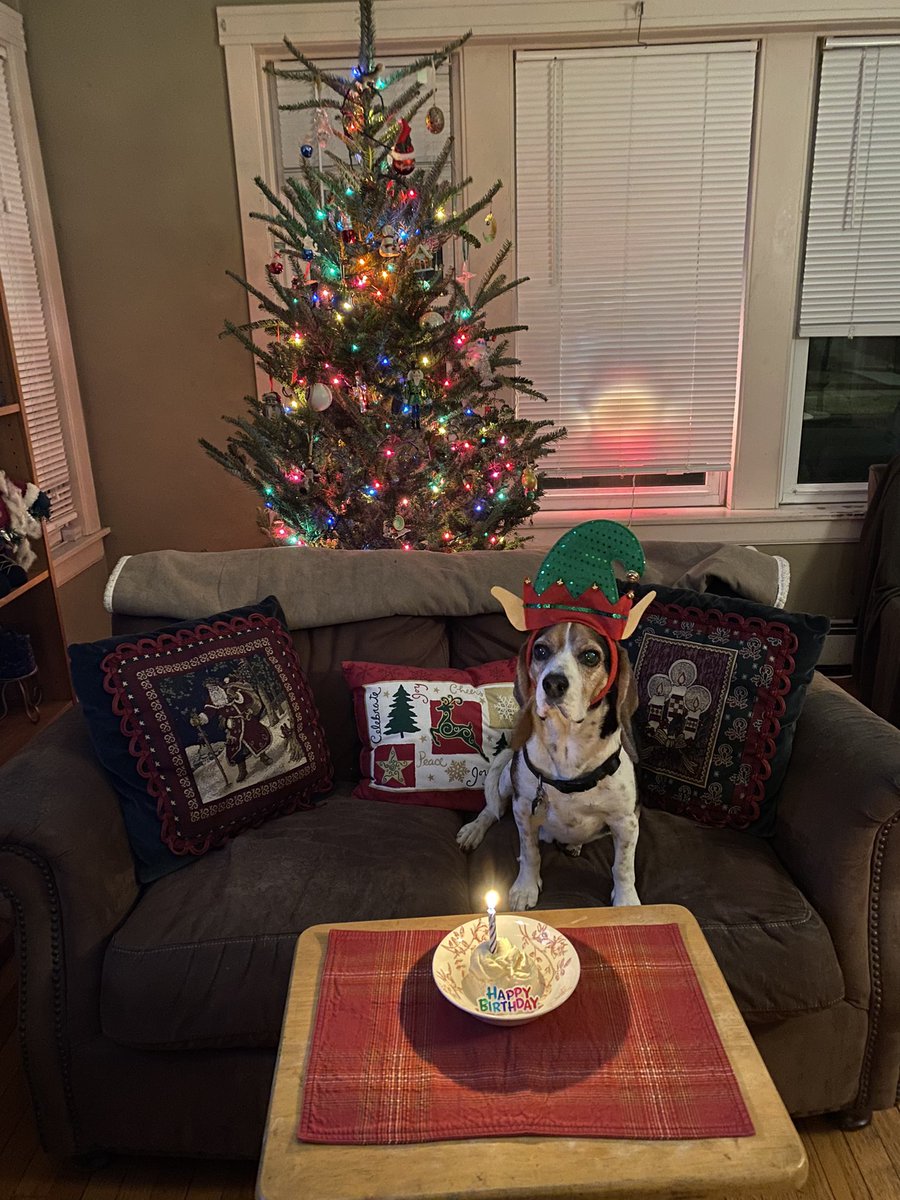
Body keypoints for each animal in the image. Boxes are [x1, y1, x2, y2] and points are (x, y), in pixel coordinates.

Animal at [460, 619, 643, 907]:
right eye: (541, 651)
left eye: (591, 656)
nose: (553, 683)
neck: (568, 746)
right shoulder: (523, 808)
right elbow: (530, 852)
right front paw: (525, 888)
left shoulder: (626, 821)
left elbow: (623, 867)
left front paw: (626, 903)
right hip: (506, 781)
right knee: (492, 808)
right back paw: (474, 829)